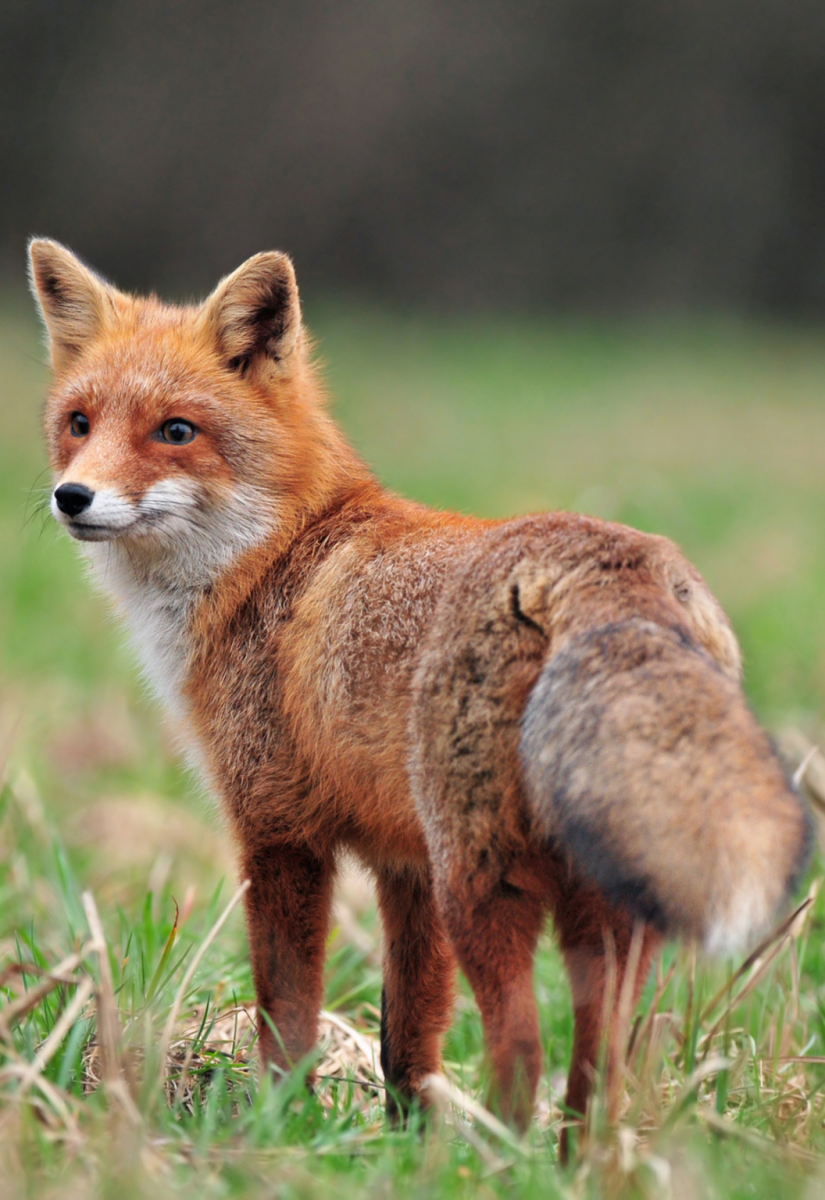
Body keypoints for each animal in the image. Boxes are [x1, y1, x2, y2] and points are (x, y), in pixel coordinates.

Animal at [29, 238, 812, 1157]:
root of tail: (610, 561)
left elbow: (286, 1014)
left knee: (521, 1048)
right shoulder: (403, 863)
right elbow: (409, 1033)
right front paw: (400, 1144)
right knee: (599, 1064)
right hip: (594, 904)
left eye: (176, 431)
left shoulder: (280, 833)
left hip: (484, 884)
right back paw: (577, 1165)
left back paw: (501, 1167)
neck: (274, 557)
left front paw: (279, 1128)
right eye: (79, 423)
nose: (72, 497)